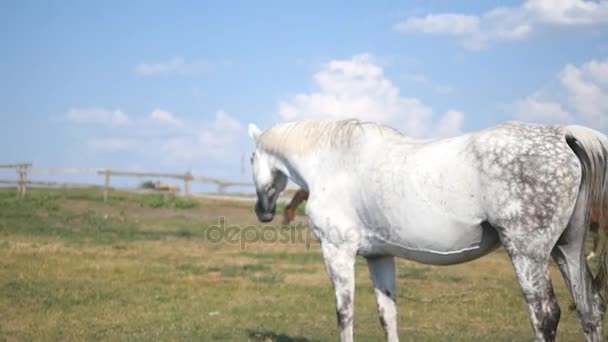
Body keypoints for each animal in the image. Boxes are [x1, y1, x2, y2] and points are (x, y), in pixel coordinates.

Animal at [247, 119, 608, 340]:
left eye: (251, 158)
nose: (262, 212)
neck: (335, 163)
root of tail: (564, 134)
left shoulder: (337, 252)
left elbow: (344, 313)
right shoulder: (379, 257)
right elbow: (387, 314)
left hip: (527, 254)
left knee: (545, 315)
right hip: (566, 250)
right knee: (589, 308)